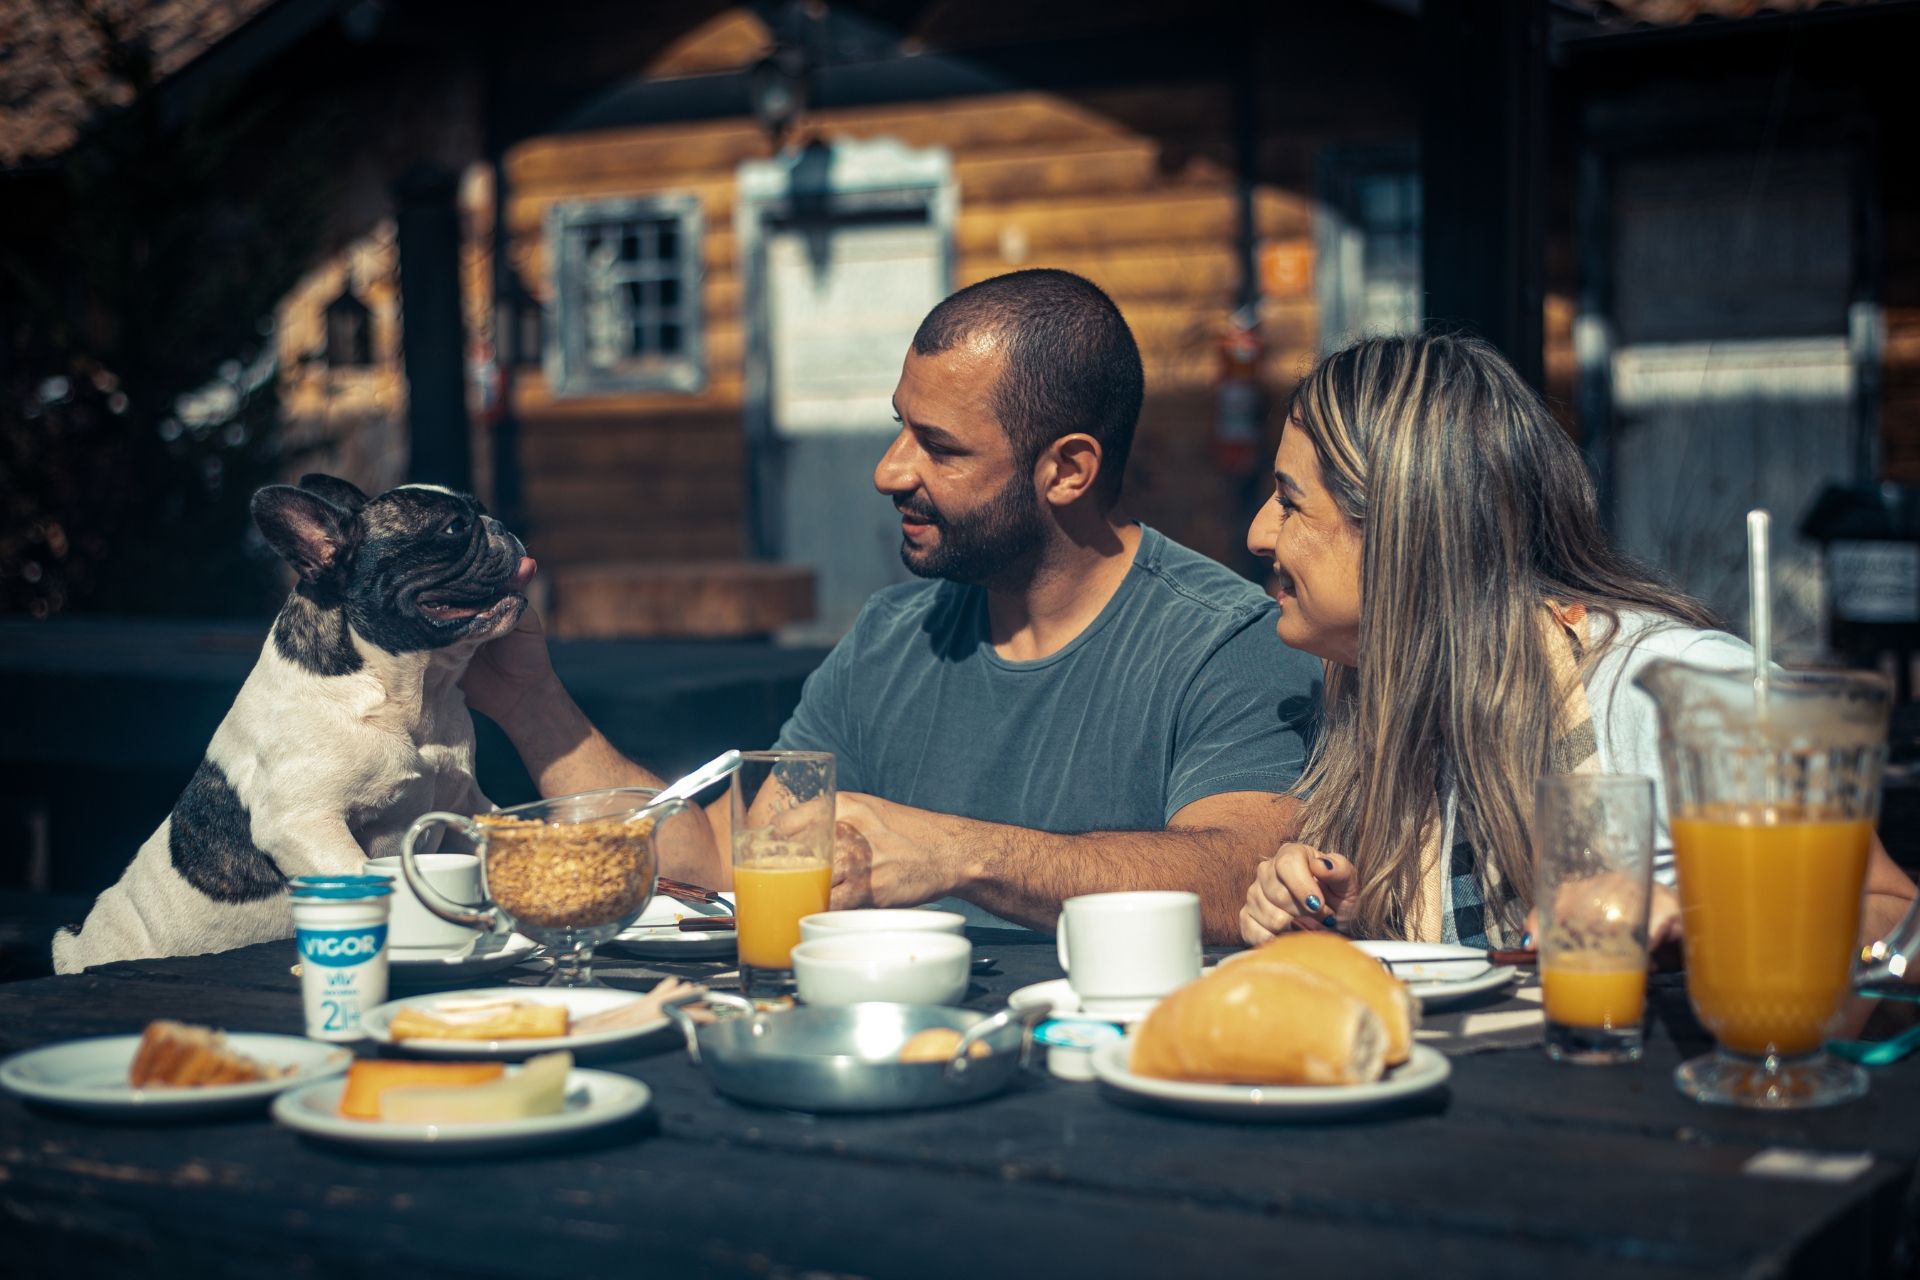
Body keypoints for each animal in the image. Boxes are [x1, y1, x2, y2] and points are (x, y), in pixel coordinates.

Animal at [54, 475, 533, 974]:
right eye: (454, 527)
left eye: (480, 508)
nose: (499, 524)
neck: (408, 694)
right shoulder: (303, 823)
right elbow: (353, 872)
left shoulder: (464, 802)